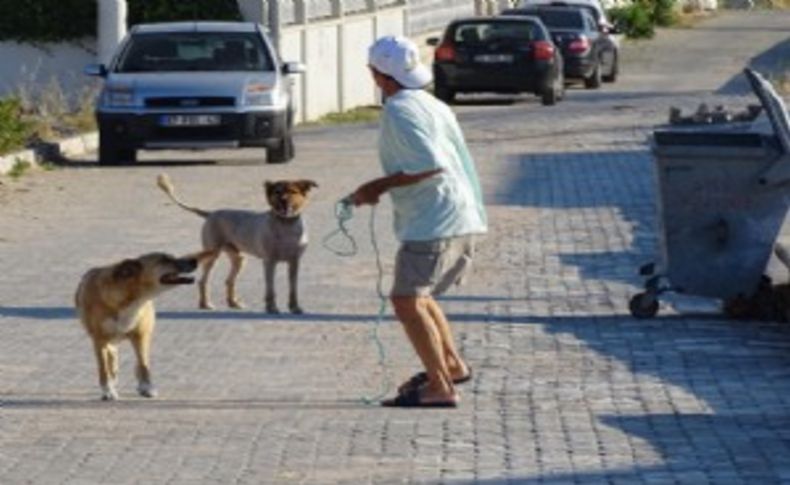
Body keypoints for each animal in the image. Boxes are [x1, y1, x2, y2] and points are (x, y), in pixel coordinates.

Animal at [75, 251, 207, 398]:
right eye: (164, 259)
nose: (194, 260)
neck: (130, 300)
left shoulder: (140, 335)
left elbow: (143, 364)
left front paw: (146, 387)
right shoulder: (100, 339)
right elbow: (104, 368)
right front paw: (108, 390)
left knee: (139, 360)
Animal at [158, 174, 318, 314]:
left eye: (293, 191)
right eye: (277, 192)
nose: (284, 201)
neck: (286, 224)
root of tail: (210, 213)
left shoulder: (294, 262)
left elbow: (293, 289)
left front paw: (295, 308)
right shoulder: (269, 262)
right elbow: (270, 289)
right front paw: (272, 308)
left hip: (239, 259)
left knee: (229, 281)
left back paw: (233, 303)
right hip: (212, 254)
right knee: (203, 281)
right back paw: (205, 304)